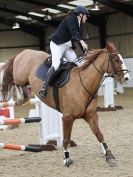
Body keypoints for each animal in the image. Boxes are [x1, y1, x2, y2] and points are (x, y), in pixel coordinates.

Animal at [0, 41, 129, 167]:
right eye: (116, 60)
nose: (127, 77)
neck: (83, 85)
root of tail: (24, 51)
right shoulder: (68, 118)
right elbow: (66, 138)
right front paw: (67, 159)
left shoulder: (91, 115)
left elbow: (99, 134)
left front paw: (109, 155)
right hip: (20, 76)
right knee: (15, 81)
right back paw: (20, 97)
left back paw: (24, 98)